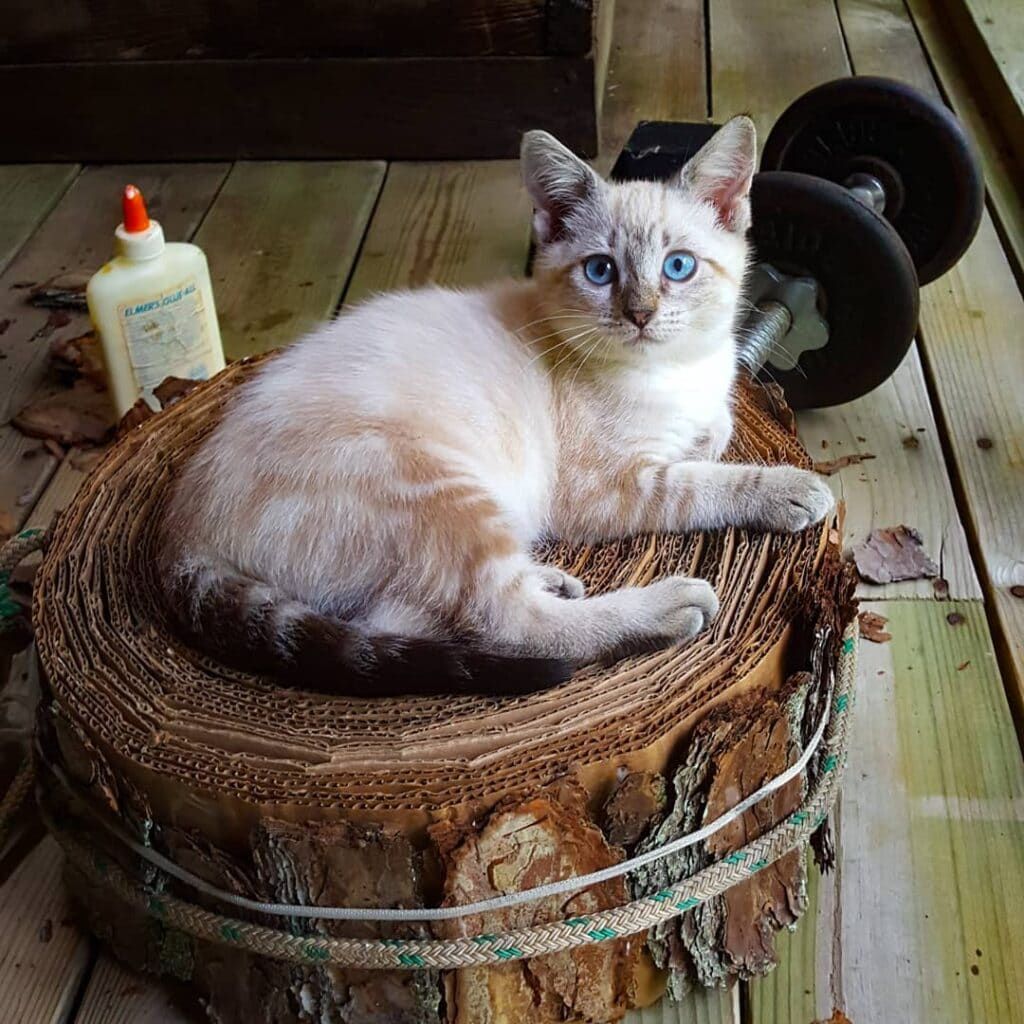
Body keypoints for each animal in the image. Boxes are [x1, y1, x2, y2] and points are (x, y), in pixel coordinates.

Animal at [157, 117, 831, 696]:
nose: (639, 313)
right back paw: (661, 606)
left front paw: (711, 431)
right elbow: (698, 482)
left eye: (679, 266)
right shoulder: (605, 488)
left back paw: (549, 576)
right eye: (600, 271)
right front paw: (787, 489)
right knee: (505, 623)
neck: (673, 374)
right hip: (435, 489)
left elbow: (714, 433)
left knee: (395, 618)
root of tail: (180, 533)